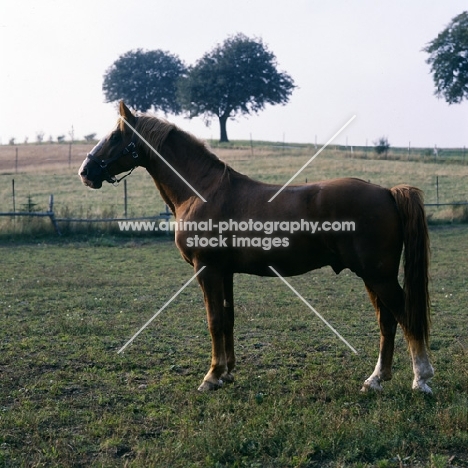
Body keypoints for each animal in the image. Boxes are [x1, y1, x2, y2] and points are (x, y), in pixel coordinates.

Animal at [78, 101, 434, 392]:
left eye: (115, 136)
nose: (85, 171)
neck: (202, 191)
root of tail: (387, 192)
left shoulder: (207, 270)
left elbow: (214, 321)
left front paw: (212, 377)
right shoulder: (225, 272)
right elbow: (227, 318)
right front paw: (227, 373)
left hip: (378, 276)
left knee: (405, 316)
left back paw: (422, 379)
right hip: (372, 277)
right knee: (387, 322)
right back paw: (376, 379)